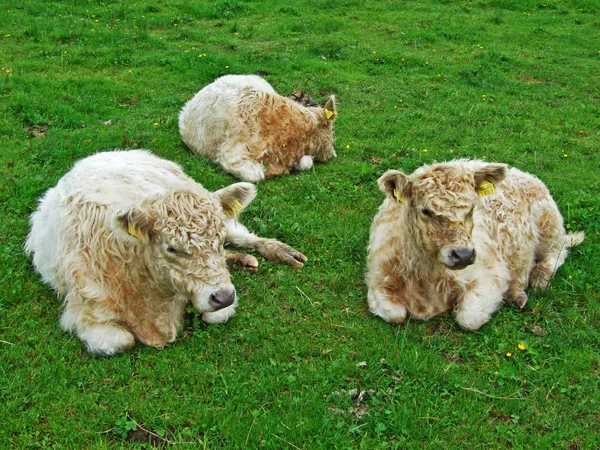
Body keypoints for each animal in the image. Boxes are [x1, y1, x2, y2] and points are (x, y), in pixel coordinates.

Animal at [24, 151, 304, 356]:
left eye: (218, 237)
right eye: (171, 248)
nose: (223, 296)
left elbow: (216, 315)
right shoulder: (85, 315)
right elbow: (123, 341)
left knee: (244, 235)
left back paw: (281, 252)